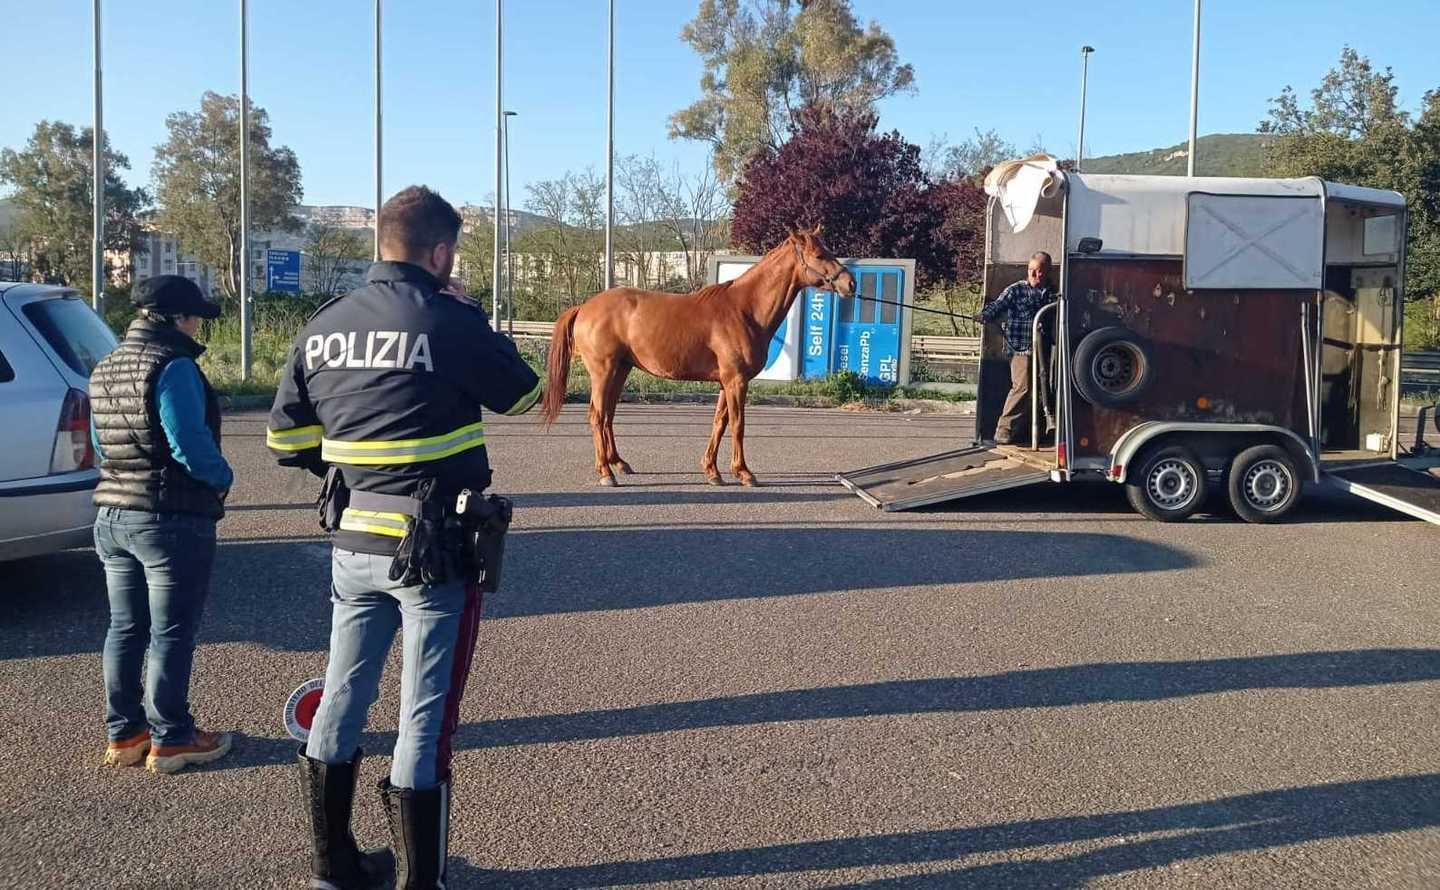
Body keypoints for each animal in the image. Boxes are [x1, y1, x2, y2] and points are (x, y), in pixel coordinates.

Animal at [540, 225, 856, 487]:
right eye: (819, 254)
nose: (850, 284)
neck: (744, 310)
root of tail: (584, 307)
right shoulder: (736, 381)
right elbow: (738, 425)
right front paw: (744, 473)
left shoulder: (727, 383)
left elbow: (720, 423)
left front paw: (712, 471)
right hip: (603, 372)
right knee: (597, 415)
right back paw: (605, 472)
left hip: (621, 370)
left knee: (608, 416)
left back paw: (619, 463)